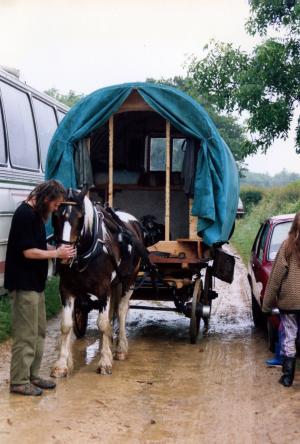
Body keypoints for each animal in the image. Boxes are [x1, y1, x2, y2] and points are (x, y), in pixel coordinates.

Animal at [51, 186, 145, 376]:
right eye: (56, 216)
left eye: (80, 217)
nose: (64, 254)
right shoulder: (66, 289)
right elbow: (66, 325)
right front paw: (62, 365)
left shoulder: (103, 289)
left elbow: (102, 324)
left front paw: (105, 362)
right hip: (115, 285)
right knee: (112, 314)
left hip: (129, 281)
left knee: (121, 310)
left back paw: (120, 348)